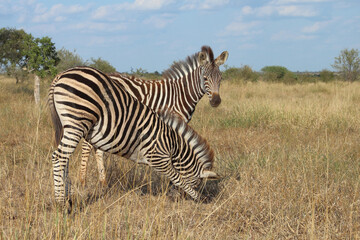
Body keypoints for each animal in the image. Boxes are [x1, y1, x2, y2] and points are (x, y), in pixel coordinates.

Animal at [46, 65, 218, 202]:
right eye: (197, 183)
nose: (178, 198)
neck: (172, 145)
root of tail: (62, 74)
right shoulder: (158, 158)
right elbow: (177, 178)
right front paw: (201, 198)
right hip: (77, 122)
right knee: (59, 157)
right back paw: (62, 204)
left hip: (68, 125)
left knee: (65, 159)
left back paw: (67, 197)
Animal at [80, 46, 229, 186]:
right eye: (205, 78)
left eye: (221, 78)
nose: (216, 101)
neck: (180, 94)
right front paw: (172, 182)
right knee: (87, 146)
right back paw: (83, 181)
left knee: (97, 148)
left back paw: (103, 182)